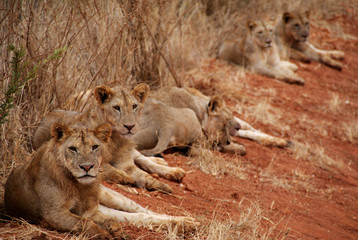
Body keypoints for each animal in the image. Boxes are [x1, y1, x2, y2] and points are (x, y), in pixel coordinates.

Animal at [4, 122, 196, 238]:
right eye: (72, 149)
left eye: (95, 147)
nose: (87, 167)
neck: (77, 185)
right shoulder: (54, 213)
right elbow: (86, 223)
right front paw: (106, 233)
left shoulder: (89, 210)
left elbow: (88, 221)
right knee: (137, 216)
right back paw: (184, 224)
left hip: (112, 196)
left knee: (145, 211)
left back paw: (185, 221)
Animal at [32, 84, 186, 193]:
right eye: (117, 107)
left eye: (134, 106)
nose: (130, 126)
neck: (116, 138)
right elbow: (111, 169)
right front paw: (126, 178)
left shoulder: (126, 163)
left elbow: (144, 174)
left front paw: (162, 185)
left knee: (143, 158)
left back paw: (173, 171)